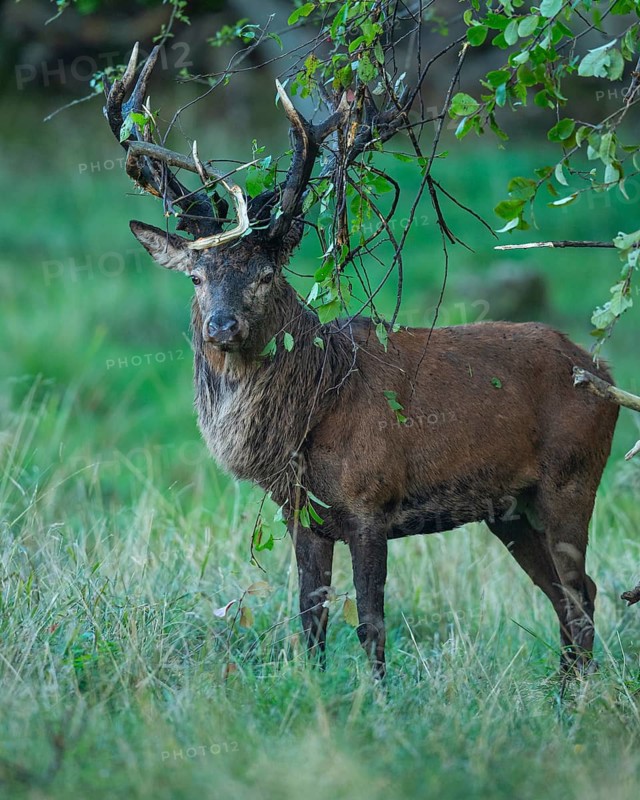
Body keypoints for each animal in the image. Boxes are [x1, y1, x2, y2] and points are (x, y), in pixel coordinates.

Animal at [104, 44, 619, 679]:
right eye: (197, 277)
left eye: (266, 274)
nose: (223, 326)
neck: (313, 409)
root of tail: (604, 374)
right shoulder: (304, 515)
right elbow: (310, 617)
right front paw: (314, 688)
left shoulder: (373, 501)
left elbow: (371, 621)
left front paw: (375, 696)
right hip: (510, 509)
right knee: (567, 593)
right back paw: (564, 691)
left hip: (573, 477)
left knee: (580, 591)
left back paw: (581, 693)